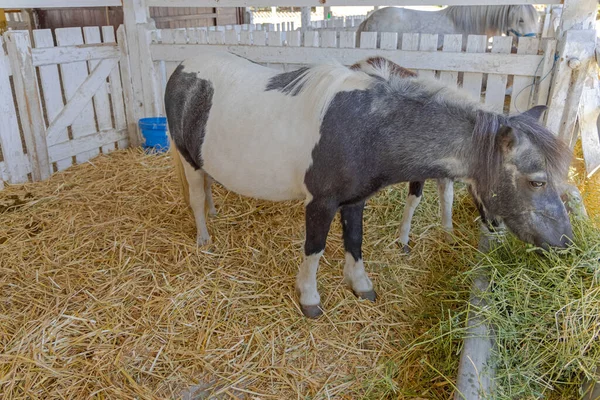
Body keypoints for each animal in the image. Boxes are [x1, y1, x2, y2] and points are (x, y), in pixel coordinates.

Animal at [164, 50, 572, 318]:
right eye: (537, 181)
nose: (565, 241)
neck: (369, 130)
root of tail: (181, 69)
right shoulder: (321, 203)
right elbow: (314, 249)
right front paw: (309, 298)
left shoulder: (354, 201)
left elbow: (355, 243)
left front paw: (360, 286)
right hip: (186, 159)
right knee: (196, 197)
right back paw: (204, 238)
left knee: (207, 186)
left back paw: (214, 214)